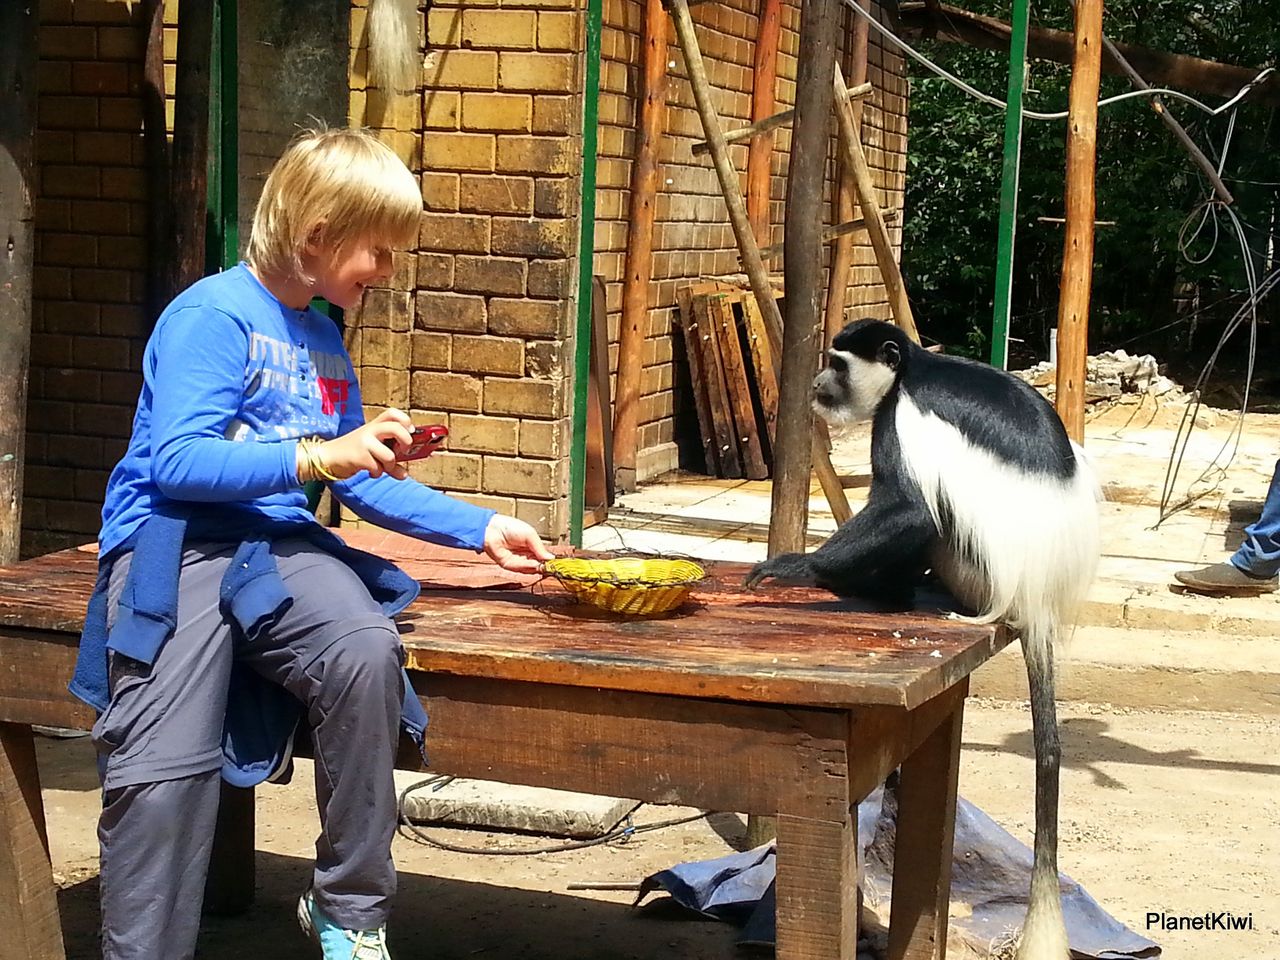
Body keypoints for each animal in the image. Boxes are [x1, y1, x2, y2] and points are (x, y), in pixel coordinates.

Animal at [747, 320, 1100, 957]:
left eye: (838, 363)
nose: (817, 386)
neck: (911, 371)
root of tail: (1034, 601)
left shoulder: (902, 419)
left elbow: (909, 508)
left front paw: (799, 568)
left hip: (974, 569)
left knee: (932, 518)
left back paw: (887, 588)